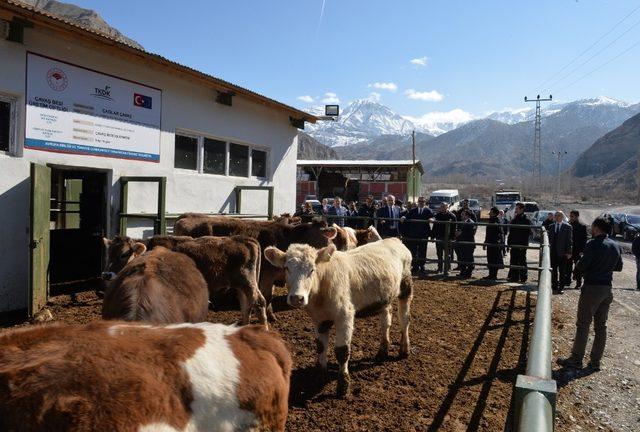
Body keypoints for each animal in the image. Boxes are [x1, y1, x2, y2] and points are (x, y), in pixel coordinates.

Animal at [102, 236, 264, 324]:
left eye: (124, 254)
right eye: (108, 253)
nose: (106, 275)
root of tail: (246, 239)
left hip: (246, 281)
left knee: (258, 301)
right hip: (240, 285)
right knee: (247, 305)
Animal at [262, 236, 412, 398]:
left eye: (312, 269)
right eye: (286, 268)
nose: (297, 298)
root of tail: (393, 239)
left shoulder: (345, 316)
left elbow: (342, 351)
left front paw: (343, 386)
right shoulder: (319, 319)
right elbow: (320, 347)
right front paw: (320, 375)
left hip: (406, 286)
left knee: (404, 319)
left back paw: (404, 349)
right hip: (385, 297)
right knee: (386, 320)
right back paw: (382, 351)